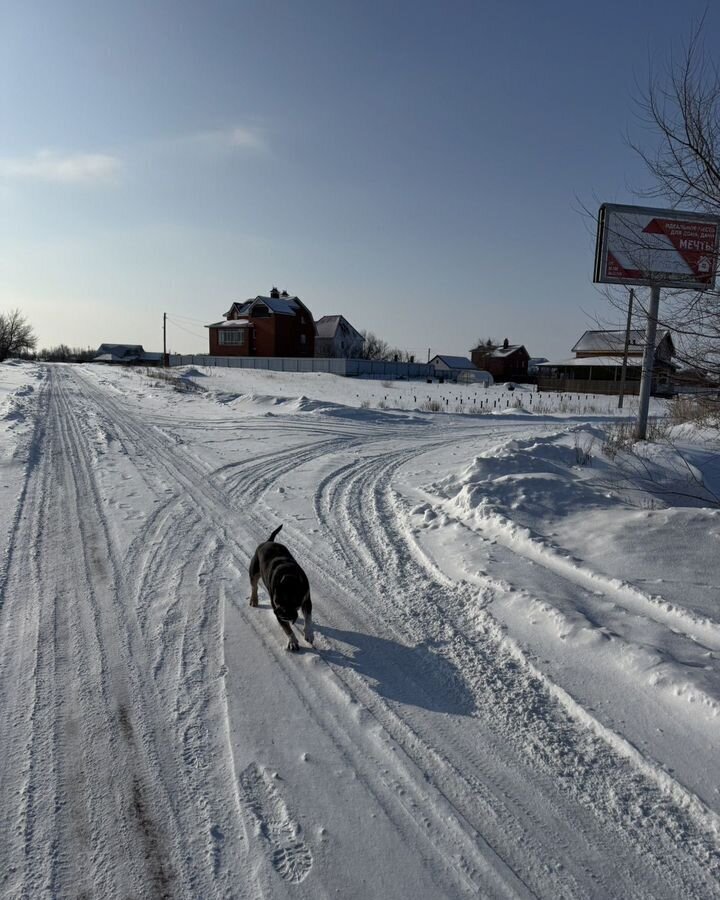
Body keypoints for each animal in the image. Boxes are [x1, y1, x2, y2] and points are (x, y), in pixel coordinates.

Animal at [249, 524, 314, 652]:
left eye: (294, 602)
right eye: (276, 601)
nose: (278, 612)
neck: (289, 579)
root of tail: (268, 541)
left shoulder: (307, 600)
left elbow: (308, 618)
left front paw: (309, 633)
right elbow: (287, 628)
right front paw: (292, 641)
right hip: (253, 572)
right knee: (254, 586)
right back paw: (254, 600)